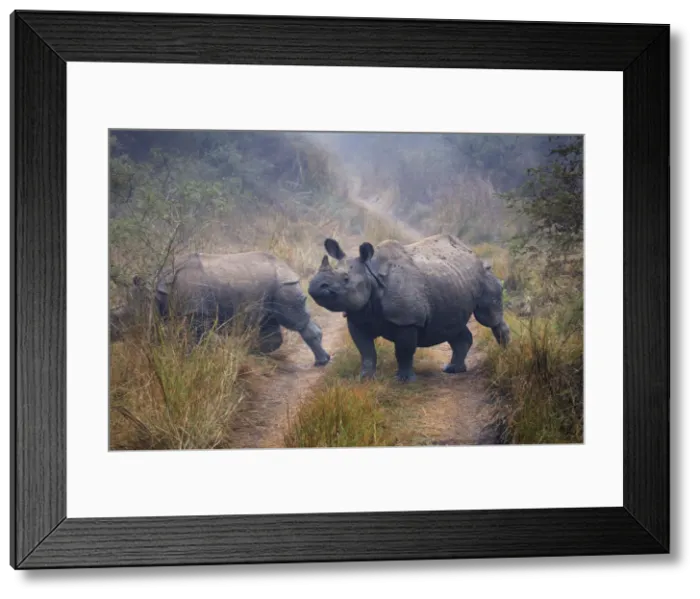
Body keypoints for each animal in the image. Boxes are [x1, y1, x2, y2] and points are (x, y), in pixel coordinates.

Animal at [110, 251, 331, 367]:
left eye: (124, 317)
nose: (113, 336)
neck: (156, 291)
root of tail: (288, 267)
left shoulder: (195, 313)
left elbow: (195, 341)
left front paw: (193, 361)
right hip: (271, 285)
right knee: (268, 321)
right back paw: (254, 352)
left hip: (283, 285)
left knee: (294, 321)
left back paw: (321, 362)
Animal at [307, 234, 510, 382]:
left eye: (346, 279)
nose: (315, 286)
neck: (370, 274)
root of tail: (472, 252)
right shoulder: (358, 315)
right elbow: (366, 351)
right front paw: (364, 378)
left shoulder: (407, 320)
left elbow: (403, 351)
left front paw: (404, 380)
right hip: (453, 280)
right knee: (452, 325)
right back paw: (453, 369)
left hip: (484, 274)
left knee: (487, 317)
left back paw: (504, 354)